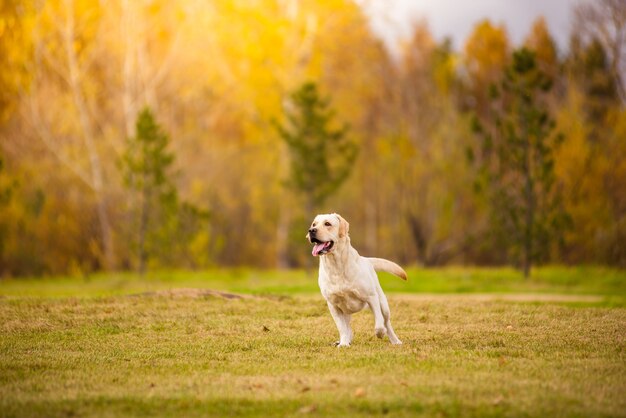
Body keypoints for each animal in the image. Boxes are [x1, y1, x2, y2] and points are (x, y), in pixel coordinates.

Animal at [306, 212, 404, 346]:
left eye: (327, 224)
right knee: (348, 328)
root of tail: (367, 259)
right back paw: (344, 340)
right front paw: (343, 344)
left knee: (387, 322)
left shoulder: (371, 297)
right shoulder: (333, 305)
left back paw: (395, 340)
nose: (311, 230)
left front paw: (380, 333)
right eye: (314, 224)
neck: (336, 266)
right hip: (345, 312)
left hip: (383, 304)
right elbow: (342, 328)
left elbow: (379, 324)